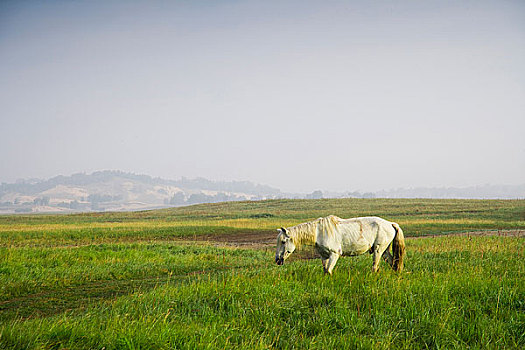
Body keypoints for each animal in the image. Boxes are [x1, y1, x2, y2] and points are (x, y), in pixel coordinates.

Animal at [274, 215, 406, 274]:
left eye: (283, 241)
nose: (277, 260)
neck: (319, 232)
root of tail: (391, 224)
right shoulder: (324, 256)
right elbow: (325, 270)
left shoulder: (334, 254)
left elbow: (328, 271)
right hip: (384, 251)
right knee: (394, 263)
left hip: (379, 250)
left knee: (375, 266)